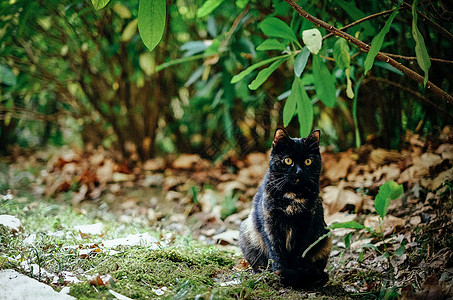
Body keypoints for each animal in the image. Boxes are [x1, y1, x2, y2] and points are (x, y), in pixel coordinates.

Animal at [238, 129, 330, 288]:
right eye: (288, 160)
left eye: (308, 161)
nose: (299, 172)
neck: (292, 195)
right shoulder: (270, 224)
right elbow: (276, 251)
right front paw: (279, 273)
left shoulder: (306, 224)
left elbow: (300, 252)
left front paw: (292, 274)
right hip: (246, 231)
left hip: (325, 238)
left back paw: (316, 277)